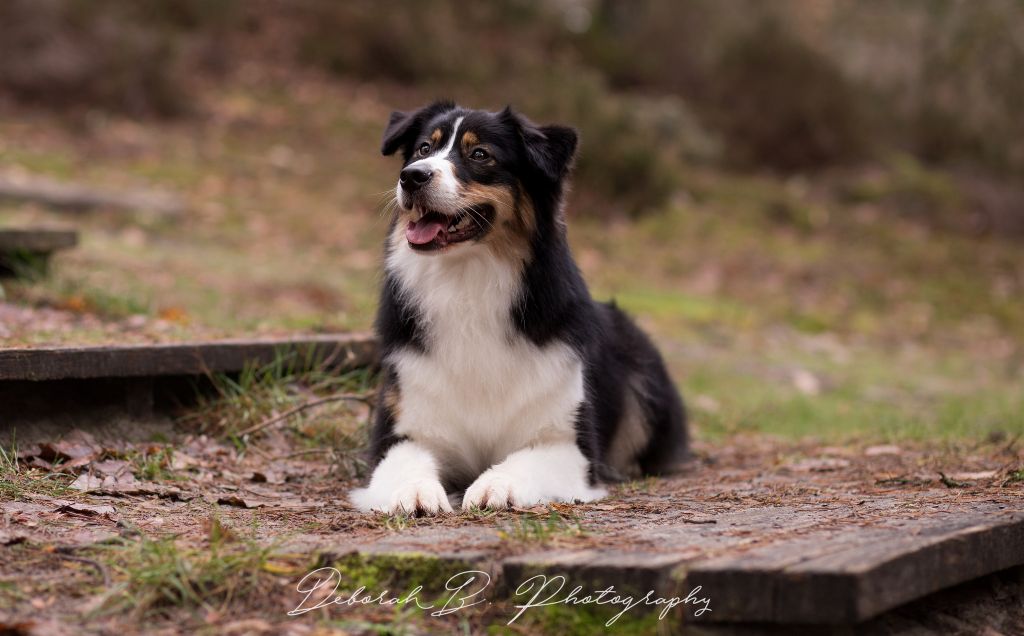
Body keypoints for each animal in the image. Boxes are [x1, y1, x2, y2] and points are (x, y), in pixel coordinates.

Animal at [350, 101, 688, 514]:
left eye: (480, 154)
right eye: (422, 149)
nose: (411, 177)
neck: (467, 282)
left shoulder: (568, 443)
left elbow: (524, 459)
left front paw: (496, 485)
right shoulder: (401, 431)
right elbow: (406, 463)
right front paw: (413, 491)